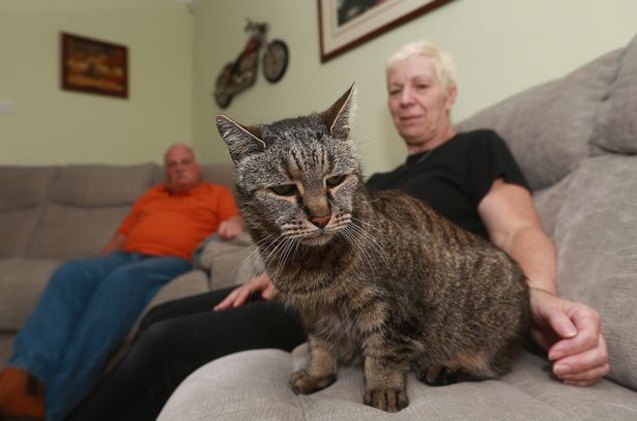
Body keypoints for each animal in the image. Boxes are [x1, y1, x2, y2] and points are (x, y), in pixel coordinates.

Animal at [216, 86, 528, 414]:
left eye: (335, 180)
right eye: (284, 190)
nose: (321, 217)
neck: (310, 265)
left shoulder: (394, 308)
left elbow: (384, 352)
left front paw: (384, 389)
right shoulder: (314, 314)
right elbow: (320, 346)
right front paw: (317, 374)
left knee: (489, 367)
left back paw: (445, 367)